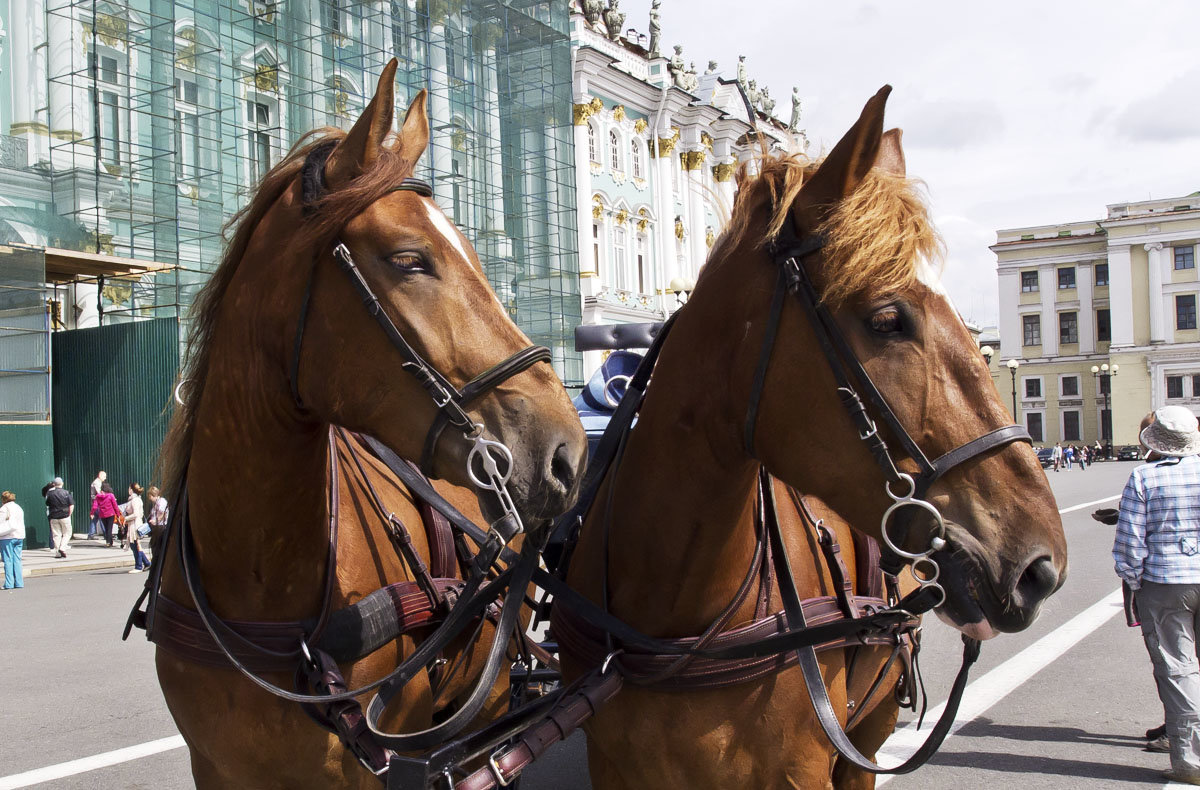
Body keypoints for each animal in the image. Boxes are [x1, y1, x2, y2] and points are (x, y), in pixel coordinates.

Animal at [556, 82, 1065, 782]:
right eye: (887, 318)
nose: (1042, 565)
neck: (677, 618)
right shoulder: (615, 768)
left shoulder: (806, 769)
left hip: (866, 737)